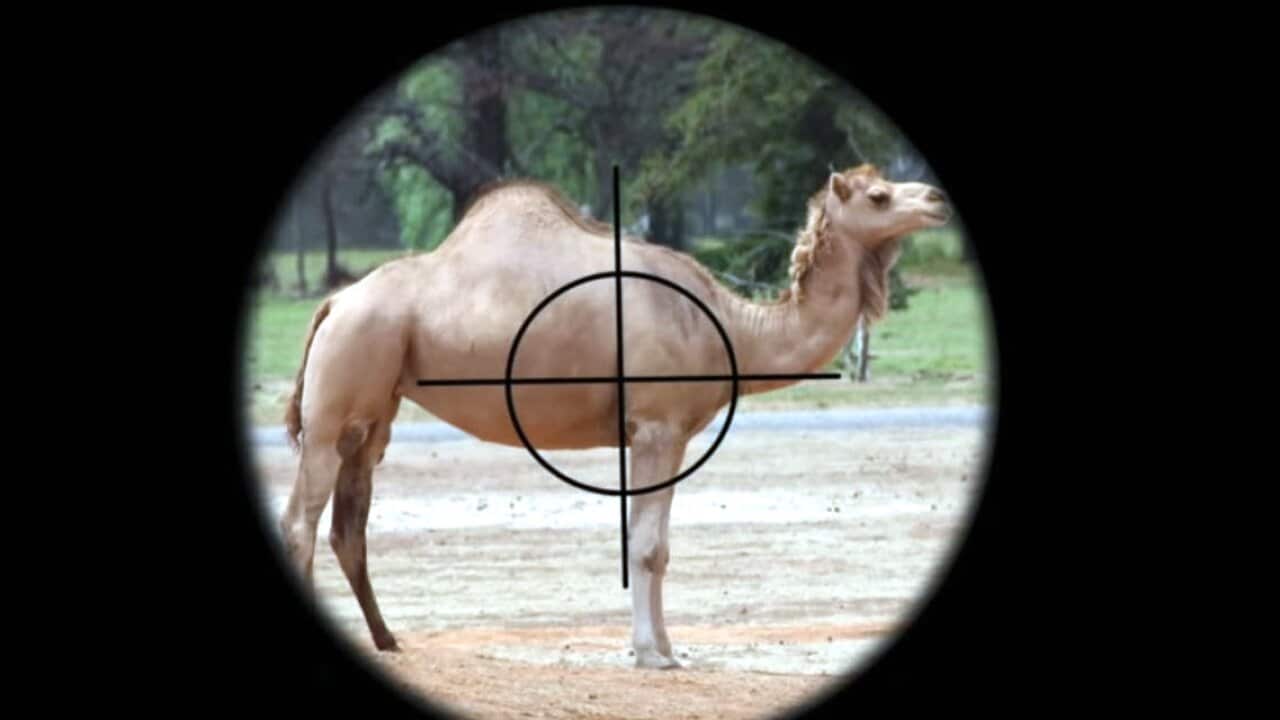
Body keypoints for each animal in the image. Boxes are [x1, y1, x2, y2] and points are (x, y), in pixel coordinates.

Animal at [277, 164, 951, 668]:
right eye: (879, 194)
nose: (937, 199)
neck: (730, 325)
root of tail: (334, 302)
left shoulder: (660, 434)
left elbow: (657, 544)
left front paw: (667, 648)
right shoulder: (657, 426)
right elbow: (647, 546)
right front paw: (654, 655)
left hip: (375, 411)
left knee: (350, 523)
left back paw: (388, 640)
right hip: (340, 386)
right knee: (303, 520)